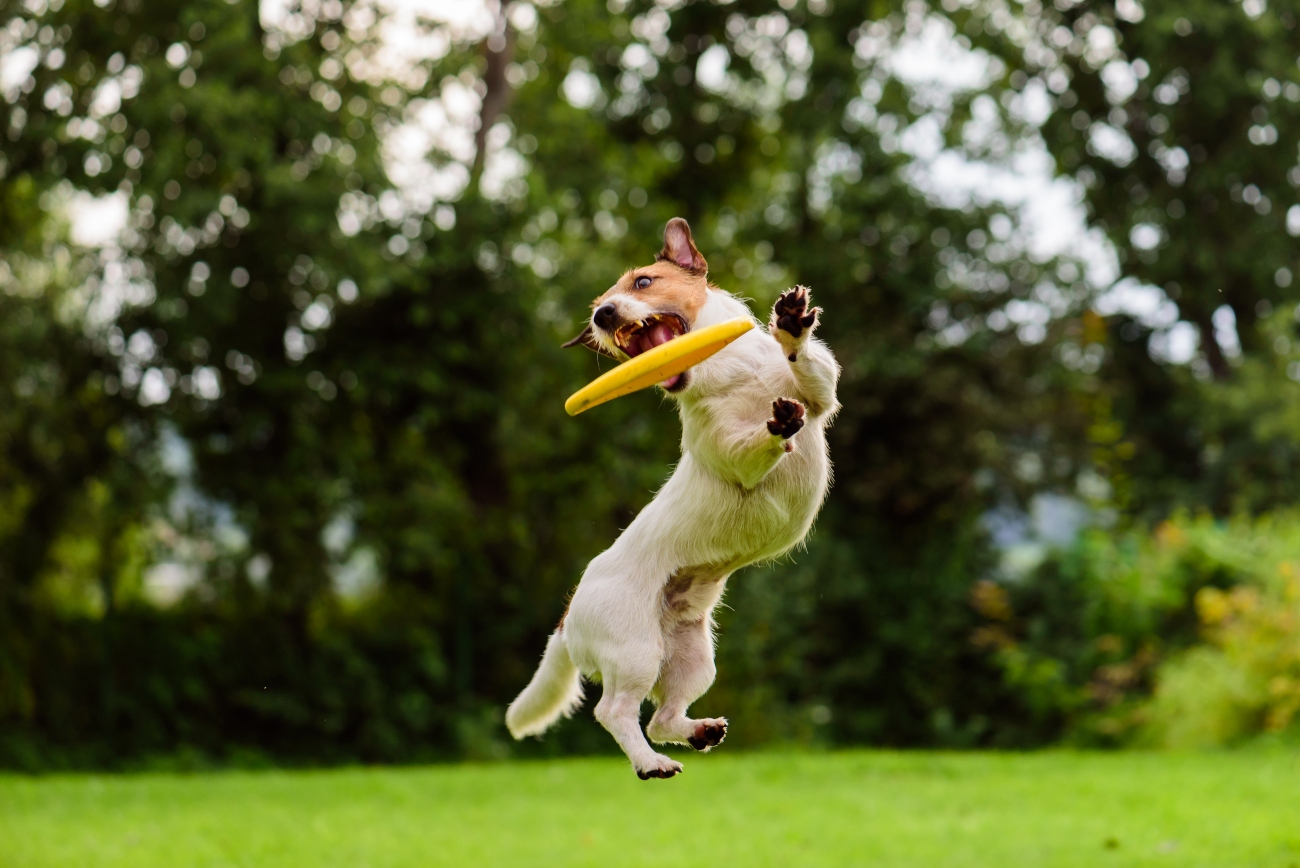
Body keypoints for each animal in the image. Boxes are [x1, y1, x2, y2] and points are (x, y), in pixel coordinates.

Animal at [501, 217, 837, 779]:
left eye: (643, 282)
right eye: (599, 306)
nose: (603, 314)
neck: (728, 372)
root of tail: (569, 615)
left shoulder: (820, 397)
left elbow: (810, 374)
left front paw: (791, 324)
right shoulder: (733, 454)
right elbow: (752, 447)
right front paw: (775, 428)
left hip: (691, 655)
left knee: (662, 716)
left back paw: (697, 732)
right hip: (635, 651)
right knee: (615, 711)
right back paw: (650, 762)